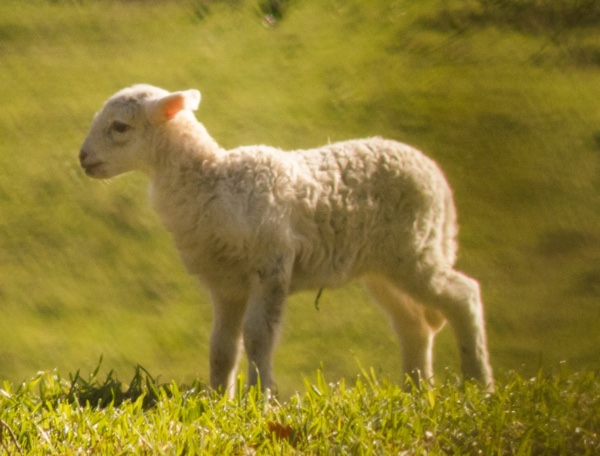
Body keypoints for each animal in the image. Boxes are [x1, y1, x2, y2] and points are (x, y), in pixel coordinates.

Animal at [78, 83, 492, 394]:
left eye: (119, 127)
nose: (82, 159)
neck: (211, 180)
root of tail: (435, 175)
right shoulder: (226, 282)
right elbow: (221, 347)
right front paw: (218, 399)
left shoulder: (272, 265)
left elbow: (258, 337)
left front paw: (260, 400)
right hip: (385, 266)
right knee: (413, 324)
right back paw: (415, 391)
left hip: (415, 249)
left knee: (463, 294)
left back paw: (478, 384)